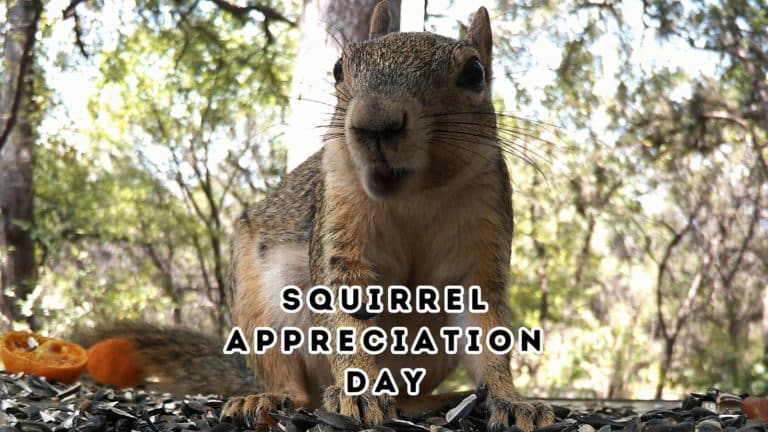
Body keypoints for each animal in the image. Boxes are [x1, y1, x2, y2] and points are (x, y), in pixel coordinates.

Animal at [80, 2, 555, 431]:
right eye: (340, 68)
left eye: (474, 73)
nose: (374, 123)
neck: (414, 196)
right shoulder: (340, 216)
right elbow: (346, 310)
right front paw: (359, 393)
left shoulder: (483, 228)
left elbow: (485, 327)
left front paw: (511, 400)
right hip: (260, 309)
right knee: (292, 386)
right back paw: (267, 399)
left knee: (407, 395)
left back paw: (440, 400)